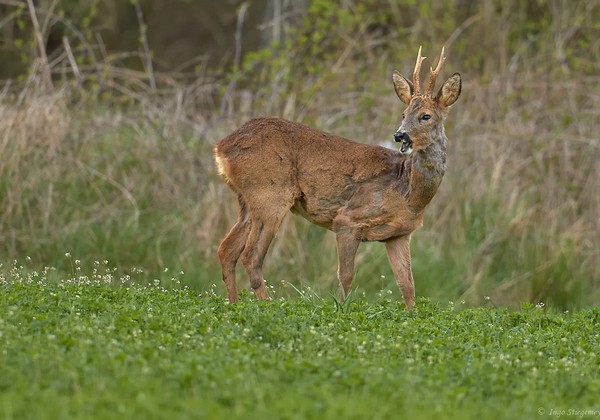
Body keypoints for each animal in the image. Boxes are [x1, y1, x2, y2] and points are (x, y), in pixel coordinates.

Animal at [213, 46, 462, 308]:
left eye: (426, 116)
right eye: (404, 113)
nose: (400, 135)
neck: (408, 192)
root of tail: (221, 148)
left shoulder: (399, 235)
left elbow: (408, 285)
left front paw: (411, 312)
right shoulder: (347, 220)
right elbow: (346, 277)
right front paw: (341, 308)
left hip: (247, 201)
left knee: (226, 250)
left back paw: (234, 304)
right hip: (270, 195)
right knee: (251, 257)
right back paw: (268, 305)